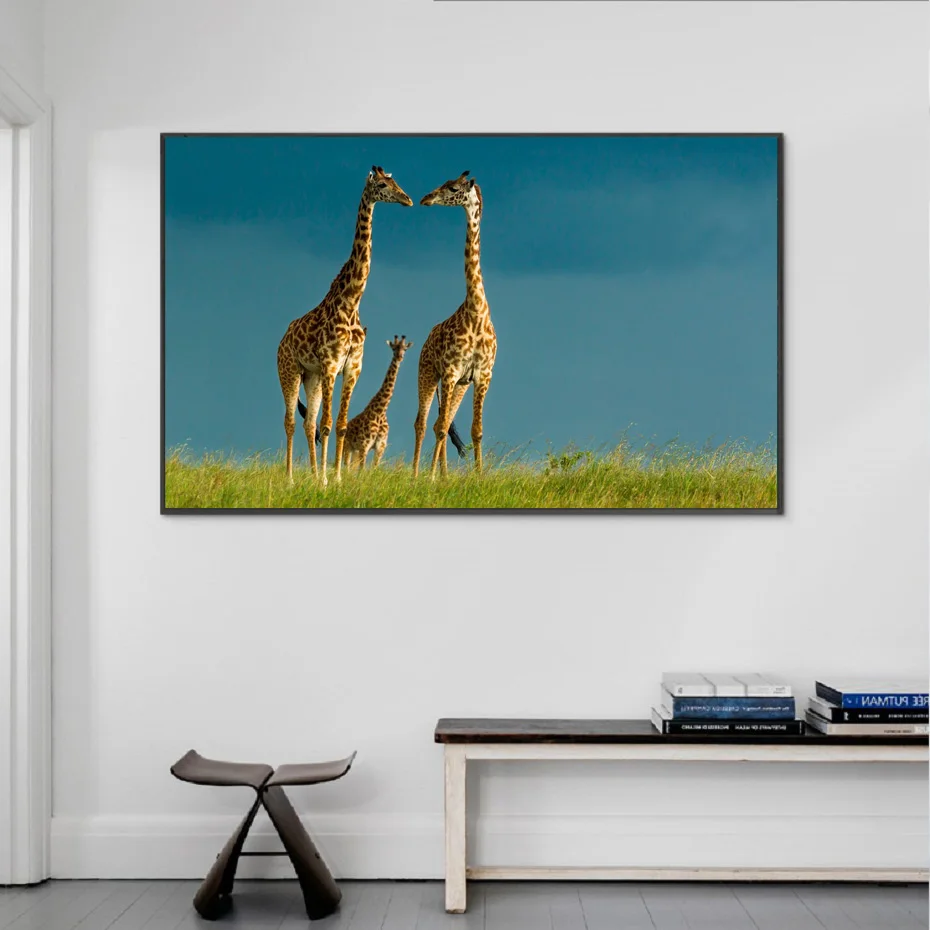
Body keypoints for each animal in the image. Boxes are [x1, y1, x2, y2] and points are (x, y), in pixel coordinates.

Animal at [340, 335, 413, 471]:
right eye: (394, 348)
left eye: (405, 349)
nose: (400, 357)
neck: (380, 411)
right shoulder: (365, 445)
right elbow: (362, 470)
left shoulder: (380, 446)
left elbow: (374, 468)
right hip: (348, 446)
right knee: (347, 466)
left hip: (355, 450)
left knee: (351, 468)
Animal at [413, 171, 497, 477]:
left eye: (452, 187)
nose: (426, 198)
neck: (476, 312)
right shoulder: (449, 371)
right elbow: (438, 430)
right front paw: (433, 478)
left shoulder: (482, 375)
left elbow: (477, 431)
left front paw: (479, 476)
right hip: (427, 373)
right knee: (424, 423)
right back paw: (419, 474)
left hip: (460, 384)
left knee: (443, 422)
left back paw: (441, 475)